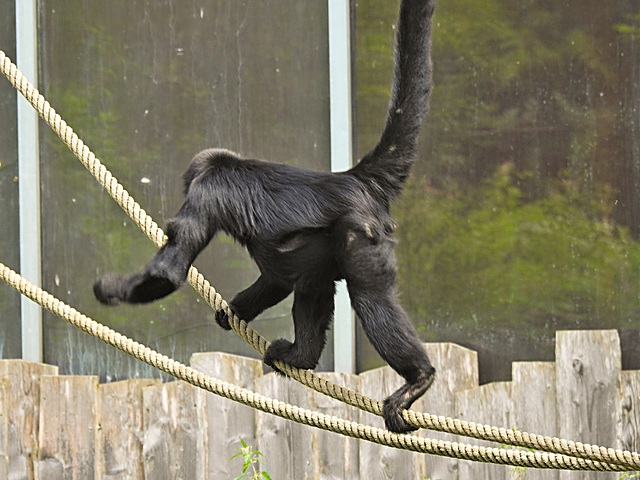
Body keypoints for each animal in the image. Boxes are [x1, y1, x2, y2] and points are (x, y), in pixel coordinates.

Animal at [94, 0, 436, 436]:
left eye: (189, 182)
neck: (227, 164)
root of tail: (352, 178)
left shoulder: (206, 192)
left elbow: (171, 269)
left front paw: (108, 288)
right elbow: (276, 280)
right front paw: (231, 312)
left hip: (361, 235)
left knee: (368, 296)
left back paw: (417, 378)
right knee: (312, 285)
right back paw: (300, 358)